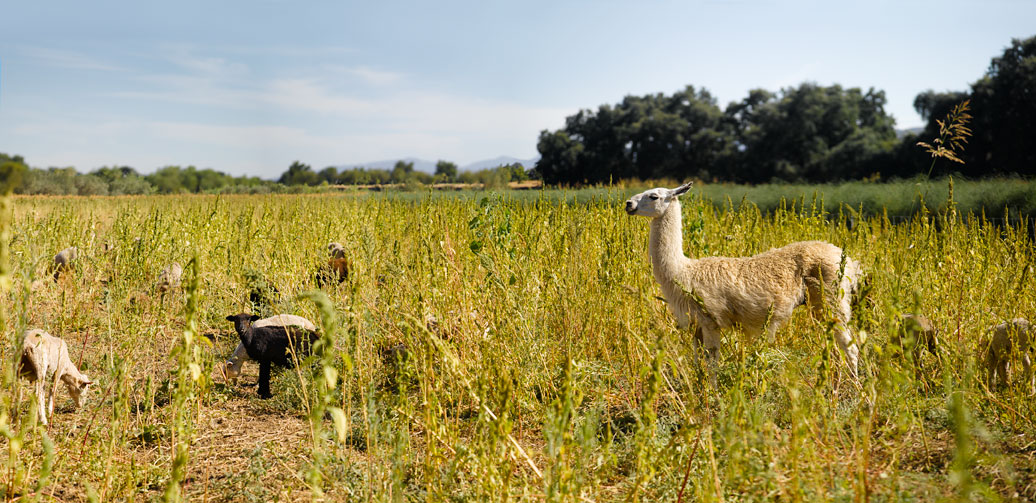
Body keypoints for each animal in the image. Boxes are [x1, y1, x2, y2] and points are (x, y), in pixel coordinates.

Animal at [625, 183, 861, 382]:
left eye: (653, 196)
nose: (628, 203)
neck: (683, 270)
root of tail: (847, 259)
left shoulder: (711, 318)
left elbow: (712, 362)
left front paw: (713, 396)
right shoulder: (697, 324)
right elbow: (697, 359)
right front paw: (700, 390)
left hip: (831, 298)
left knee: (850, 347)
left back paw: (854, 387)